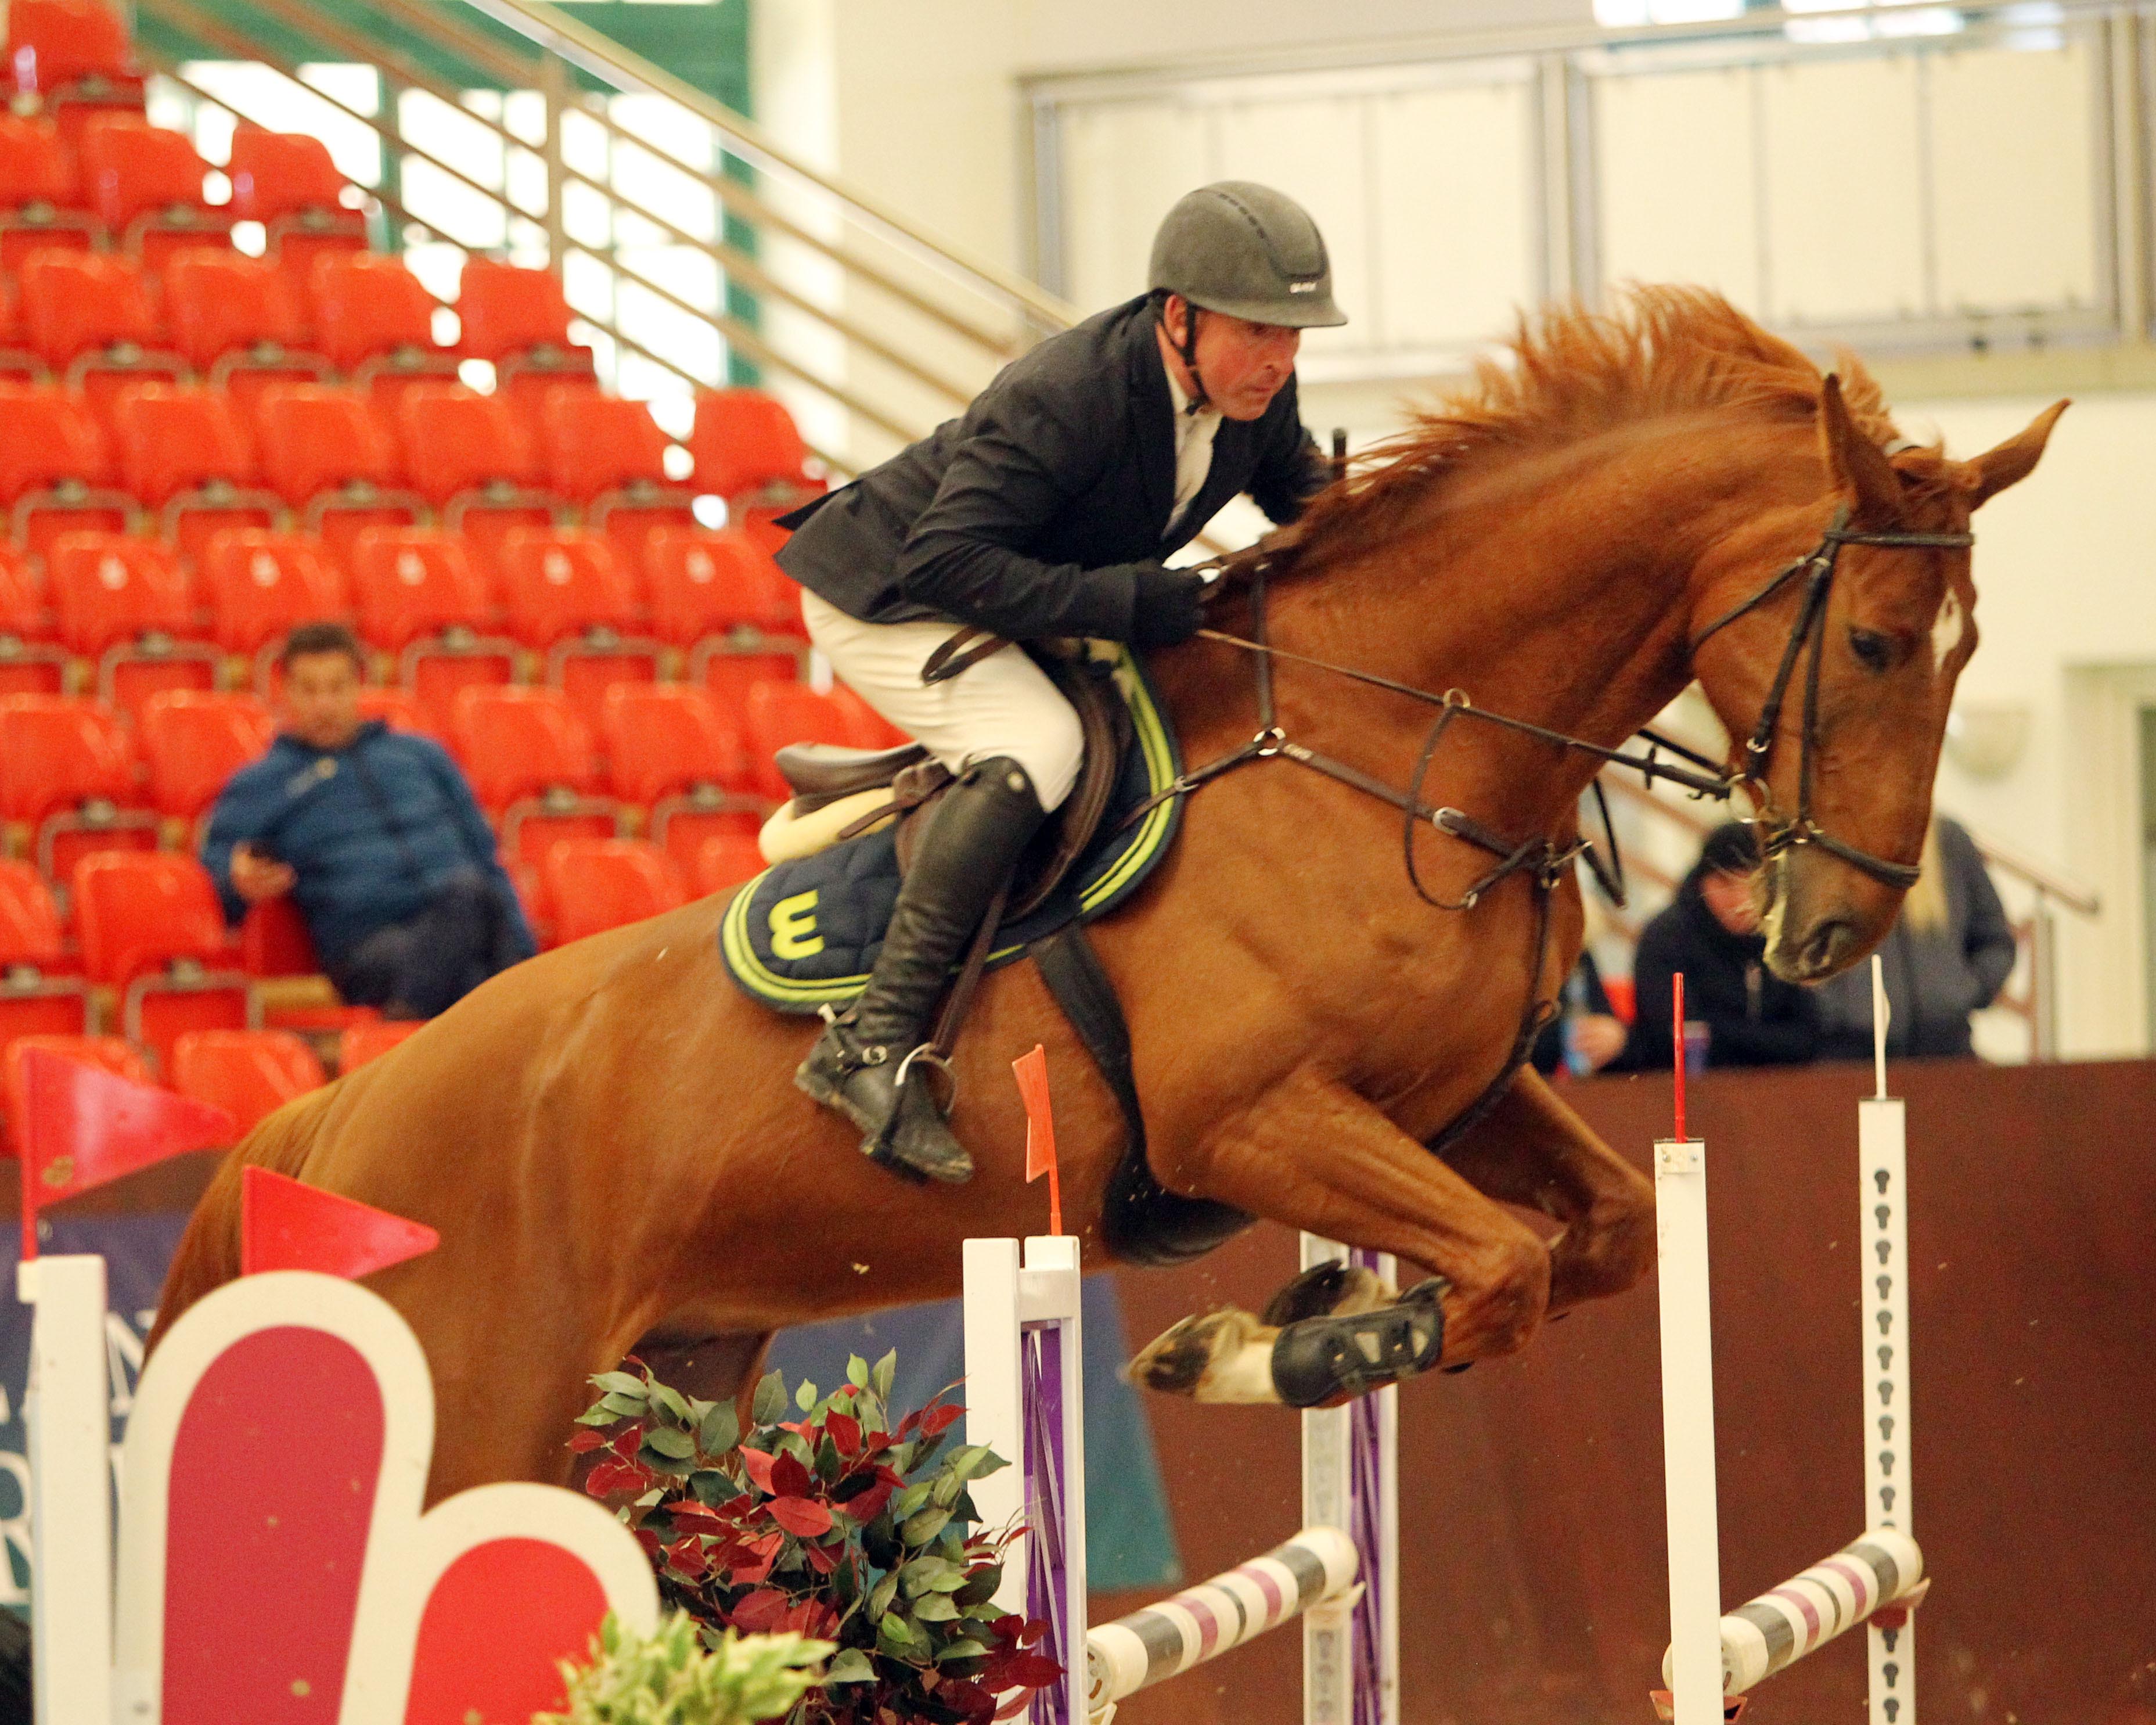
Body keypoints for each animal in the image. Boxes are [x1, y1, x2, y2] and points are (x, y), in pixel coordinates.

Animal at [147, 289, 2052, 1500]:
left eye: (1966, 654)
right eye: (1875, 644)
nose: (1833, 935)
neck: (1400, 745)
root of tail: (325, 1118)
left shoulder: (1458, 1100)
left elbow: (1591, 1238)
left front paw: (1313, 1323)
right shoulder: (1249, 1117)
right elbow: (1504, 1267)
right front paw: (1258, 1348)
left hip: (674, 1367)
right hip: (481, 1412)